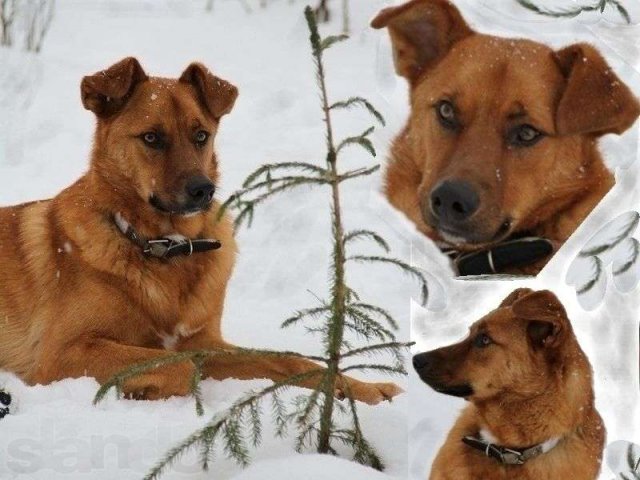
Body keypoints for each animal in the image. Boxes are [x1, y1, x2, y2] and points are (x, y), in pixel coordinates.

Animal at [0, 58, 402, 406]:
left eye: (200, 135)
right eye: (151, 138)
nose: (203, 190)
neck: (163, 248)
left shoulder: (204, 341)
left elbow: (290, 362)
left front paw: (364, 389)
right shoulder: (61, 354)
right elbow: (179, 365)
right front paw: (140, 388)